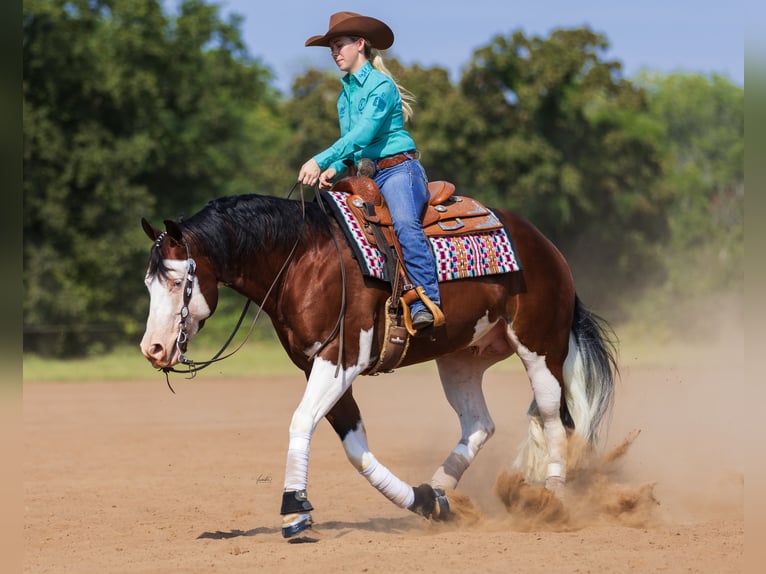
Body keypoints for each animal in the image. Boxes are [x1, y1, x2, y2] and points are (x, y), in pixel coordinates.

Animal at [138, 189, 616, 540]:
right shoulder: (321, 368)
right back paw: (442, 493)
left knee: (554, 420)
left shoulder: (340, 359)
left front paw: (293, 506)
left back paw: (550, 501)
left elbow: (301, 421)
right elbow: (355, 447)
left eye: (178, 281)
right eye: (148, 283)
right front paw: (422, 502)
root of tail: (547, 248)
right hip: (462, 359)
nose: (154, 349)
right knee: (480, 425)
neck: (303, 260)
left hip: (540, 350)